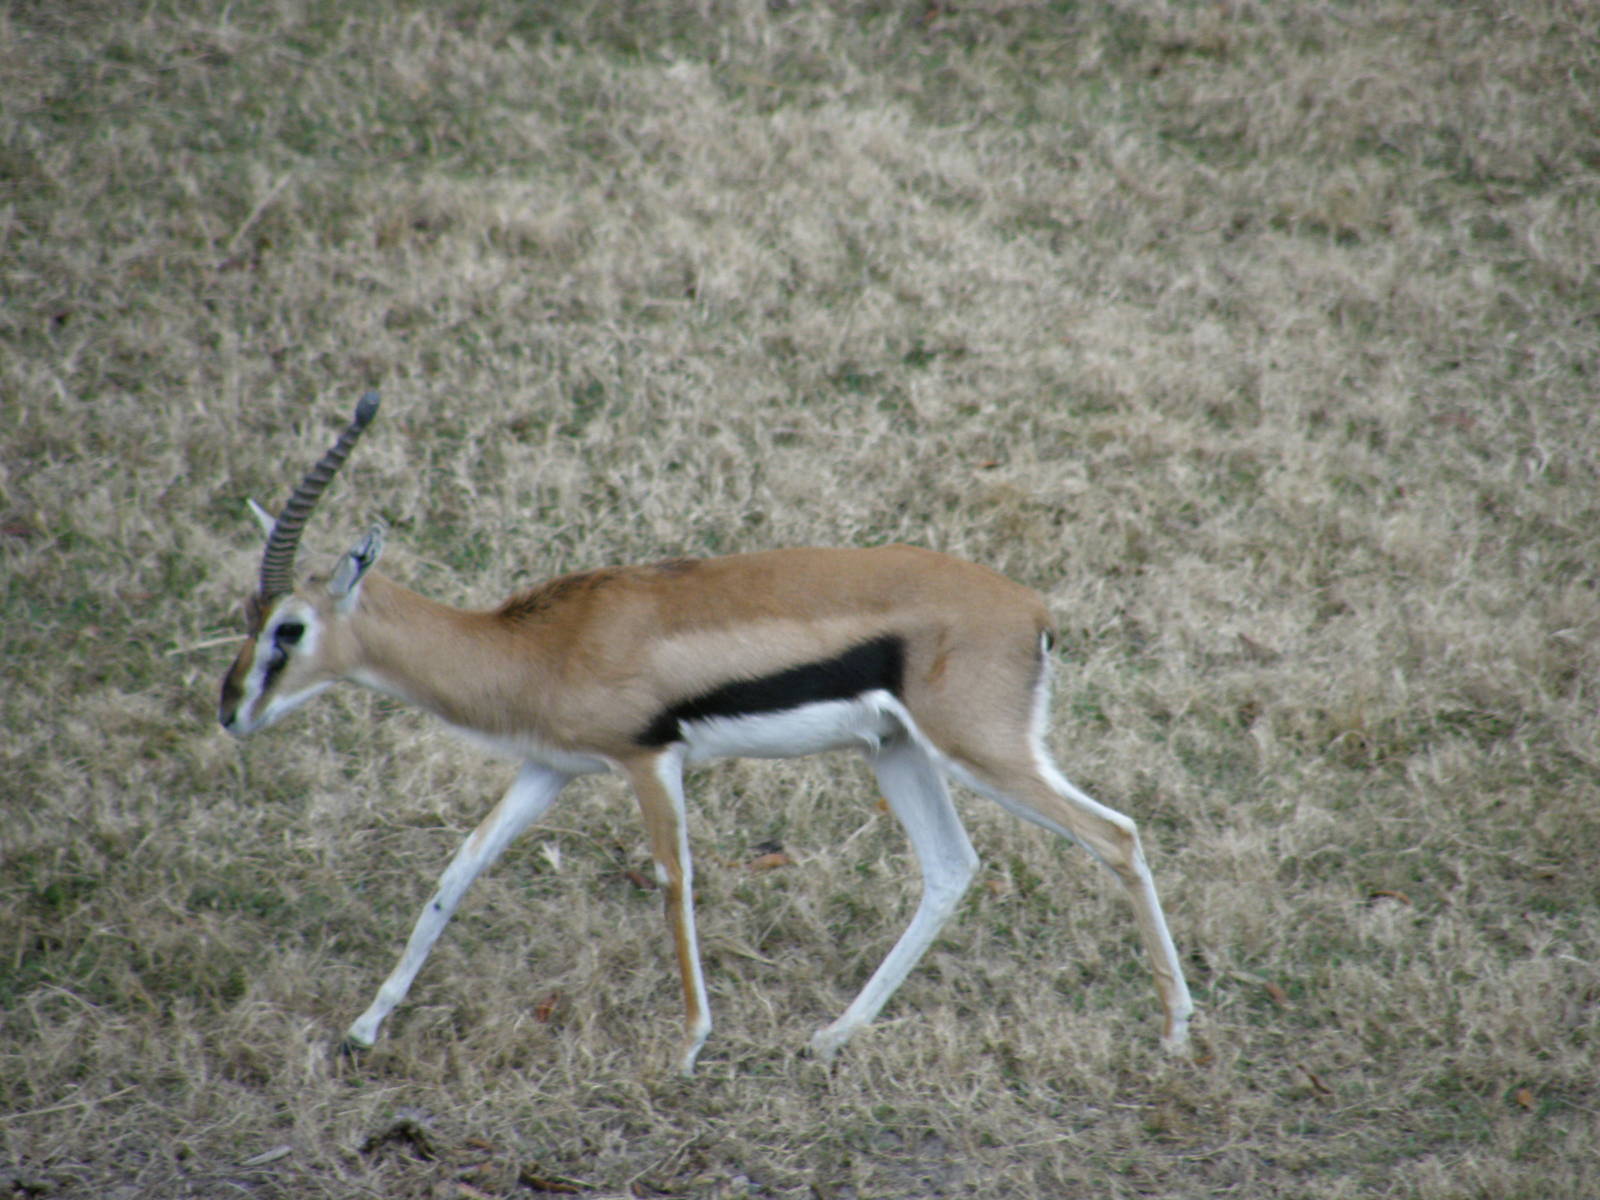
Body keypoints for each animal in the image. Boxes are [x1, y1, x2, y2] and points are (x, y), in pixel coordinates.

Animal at [219, 393, 1194, 1075]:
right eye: (249, 614)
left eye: (290, 628)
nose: (230, 710)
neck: (540, 645)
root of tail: (1033, 609)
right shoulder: (549, 769)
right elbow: (459, 869)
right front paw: (364, 1027)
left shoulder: (650, 760)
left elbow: (672, 881)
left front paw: (689, 1044)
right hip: (899, 755)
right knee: (953, 870)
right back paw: (832, 1037)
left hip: (983, 753)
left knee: (1116, 835)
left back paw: (1178, 1032)